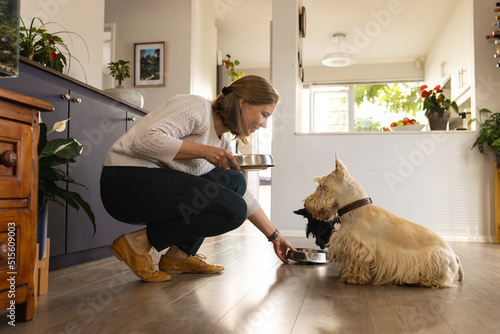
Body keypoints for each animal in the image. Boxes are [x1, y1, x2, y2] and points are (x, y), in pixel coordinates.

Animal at [304, 154, 464, 288]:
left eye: (321, 185)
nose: (306, 203)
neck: (355, 208)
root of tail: (455, 256)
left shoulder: (360, 247)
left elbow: (357, 263)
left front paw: (353, 278)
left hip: (435, 260)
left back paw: (421, 280)